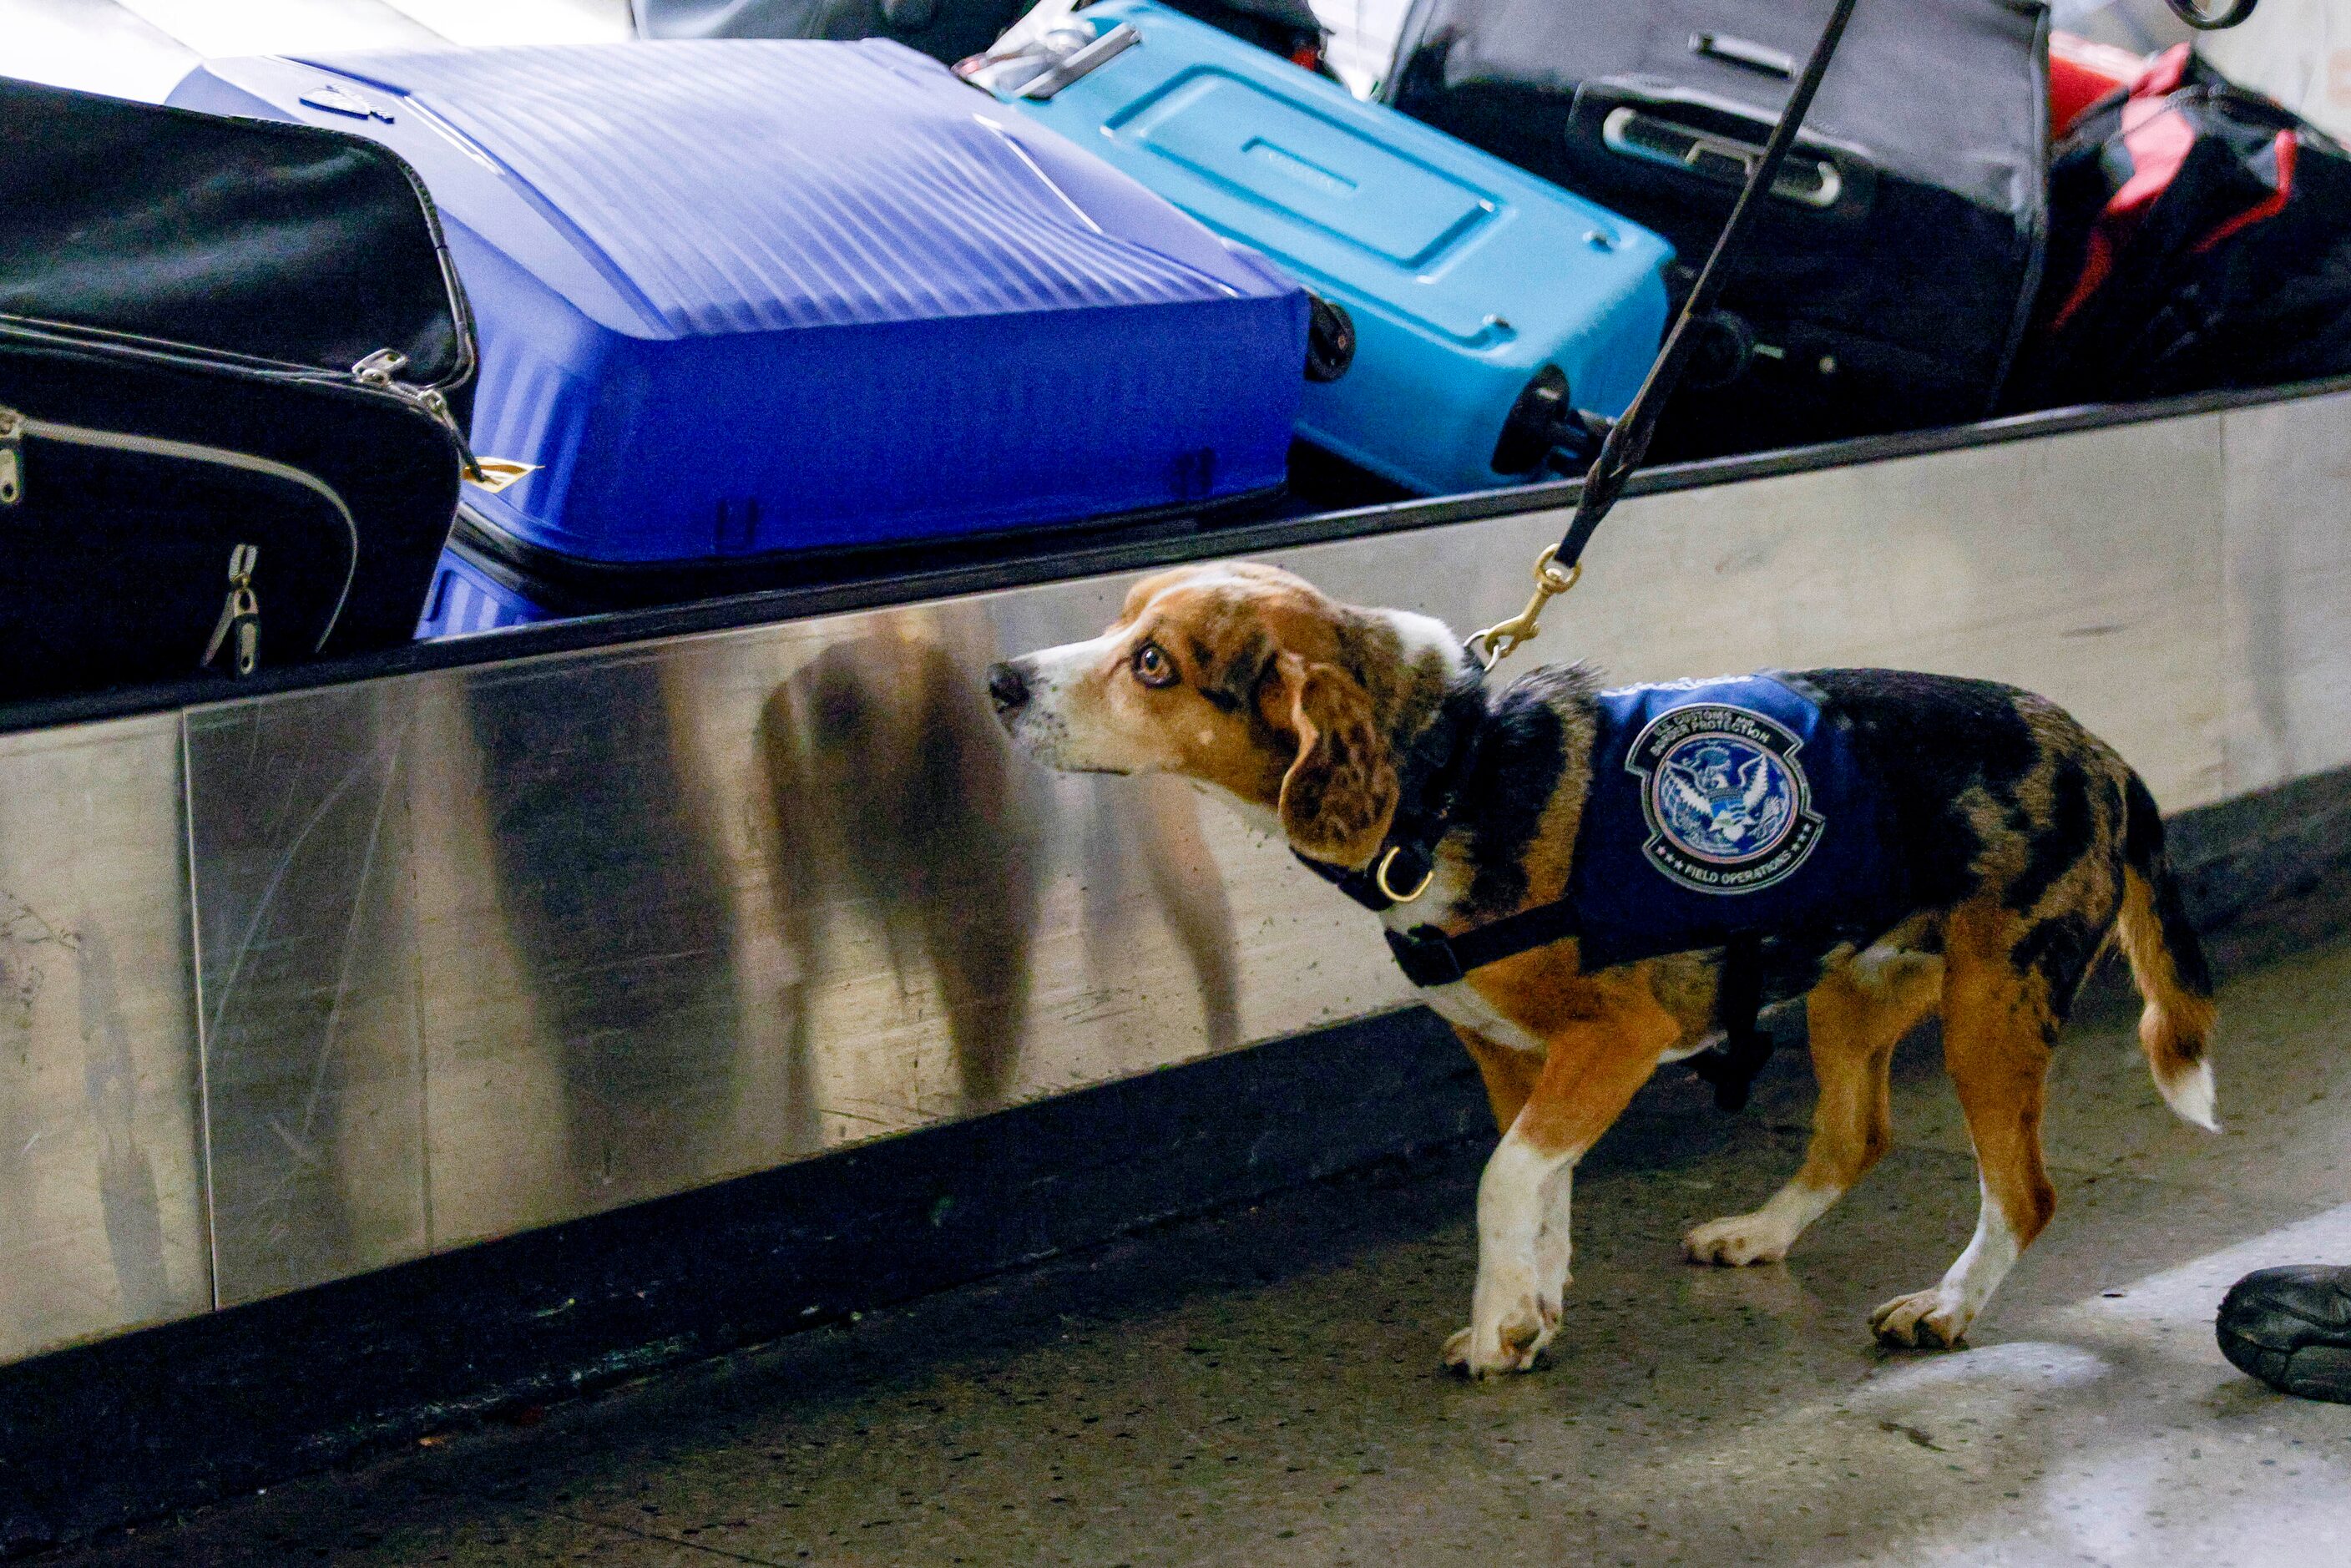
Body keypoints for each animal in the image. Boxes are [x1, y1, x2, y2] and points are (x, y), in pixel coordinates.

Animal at [987, 561, 2219, 1373]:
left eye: (1154, 664)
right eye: (1120, 617)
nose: (999, 678)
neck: (1454, 775)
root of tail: (2104, 756)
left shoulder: (1616, 1041)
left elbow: (1500, 1184)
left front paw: (1496, 1330)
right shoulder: (1514, 1056)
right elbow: (1541, 1188)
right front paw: (1531, 1309)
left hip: (1992, 1010)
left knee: (2022, 1191)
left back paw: (1945, 1309)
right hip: (1853, 992)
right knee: (1855, 1135)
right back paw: (1761, 1233)